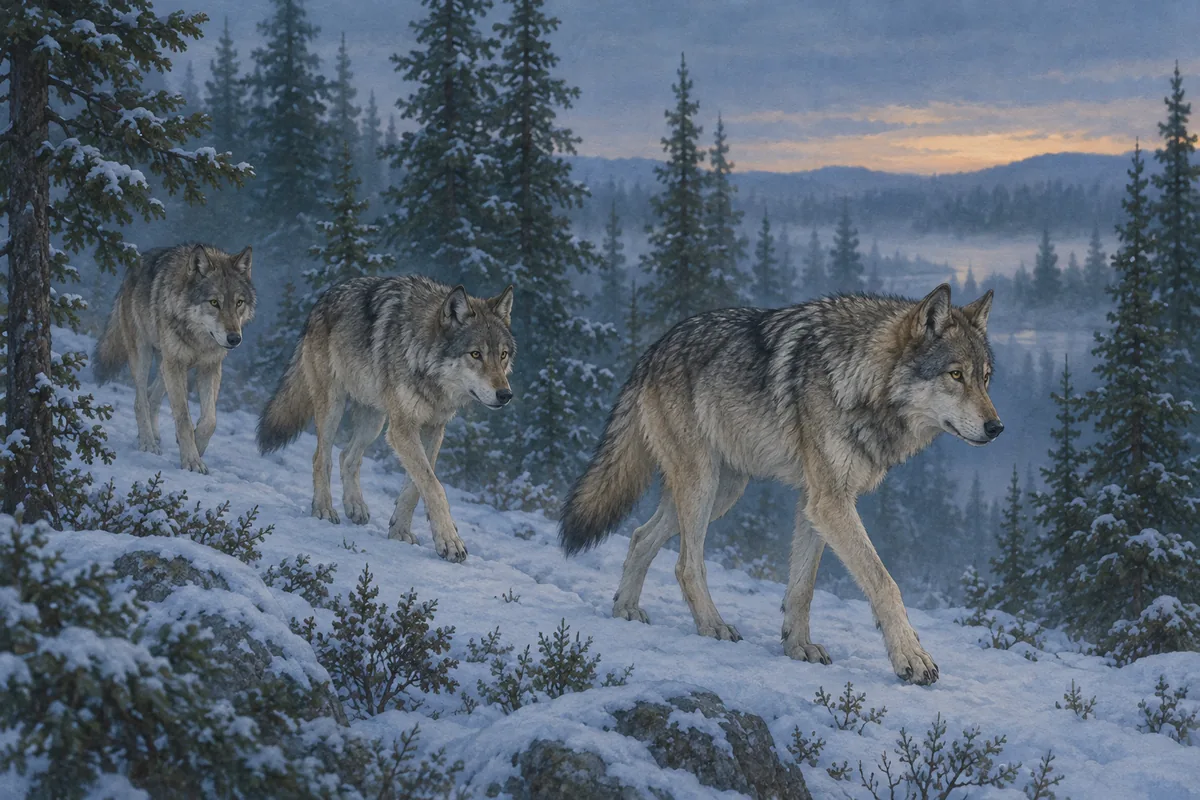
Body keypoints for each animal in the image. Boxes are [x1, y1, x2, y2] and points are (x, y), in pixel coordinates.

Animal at [94, 243, 255, 474]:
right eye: (214, 302)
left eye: (239, 303)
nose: (234, 339)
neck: (199, 340)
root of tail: (134, 264)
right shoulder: (176, 364)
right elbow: (183, 418)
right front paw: (192, 460)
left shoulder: (210, 367)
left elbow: (210, 421)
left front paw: (198, 446)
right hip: (146, 356)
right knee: (140, 400)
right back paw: (148, 443)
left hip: (167, 366)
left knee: (151, 396)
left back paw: (154, 435)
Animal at [256, 275, 515, 563]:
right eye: (475, 354)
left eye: (503, 355)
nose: (505, 395)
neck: (424, 363)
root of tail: (321, 299)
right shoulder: (402, 428)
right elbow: (434, 487)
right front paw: (450, 541)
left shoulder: (433, 429)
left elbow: (416, 486)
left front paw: (400, 530)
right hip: (334, 406)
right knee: (321, 457)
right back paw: (324, 509)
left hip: (375, 421)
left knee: (347, 456)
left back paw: (355, 506)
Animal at [559, 284, 1001, 685]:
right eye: (955, 375)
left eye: (985, 379)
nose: (997, 428)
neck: (859, 379)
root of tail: (652, 350)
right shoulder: (831, 502)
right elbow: (884, 583)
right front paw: (912, 658)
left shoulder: (816, 502)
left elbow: (802, 587)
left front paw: (797, 645)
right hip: (703, 484)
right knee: (686, 564)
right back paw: (713, 625)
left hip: (723, 490)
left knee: (640, 537)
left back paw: (626, 609)